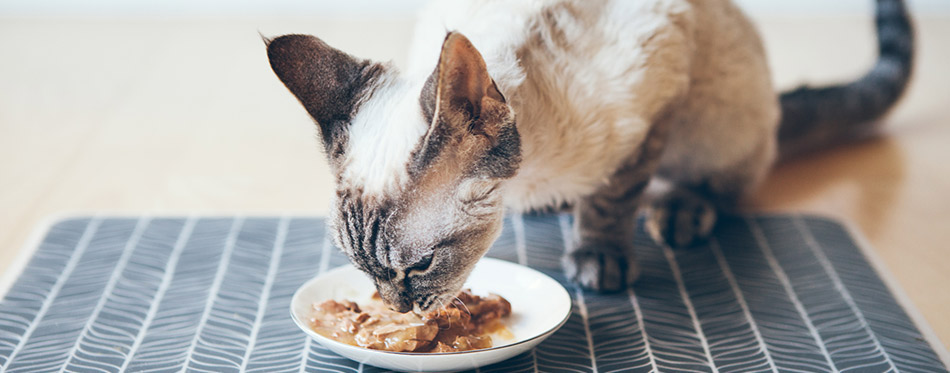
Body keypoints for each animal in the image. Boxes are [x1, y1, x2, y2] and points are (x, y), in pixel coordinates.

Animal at [266, 0, 916, 312]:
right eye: (361, 269)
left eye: (420, 267)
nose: (399, 309)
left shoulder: (655, 104)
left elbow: (613, 199)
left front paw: (598, 256)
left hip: (716, 119)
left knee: (721, 186)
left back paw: (680, 211)